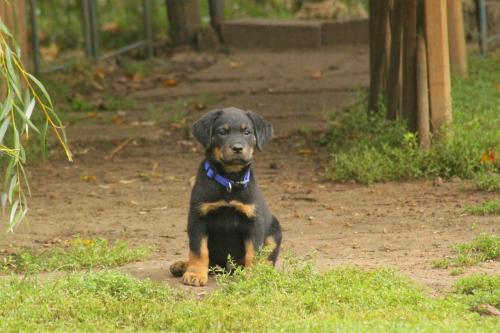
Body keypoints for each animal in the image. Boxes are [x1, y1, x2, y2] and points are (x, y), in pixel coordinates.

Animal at [171, 106, 282, 286]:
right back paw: (182, 265)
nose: (237, 148)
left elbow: (253, 252)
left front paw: (253, 275)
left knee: (267, 258)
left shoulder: (253, 221)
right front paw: (195, 274)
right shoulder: (198, 218)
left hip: (275, 231)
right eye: (222, 132)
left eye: (247, 132)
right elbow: (198, 250)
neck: (229, 180)